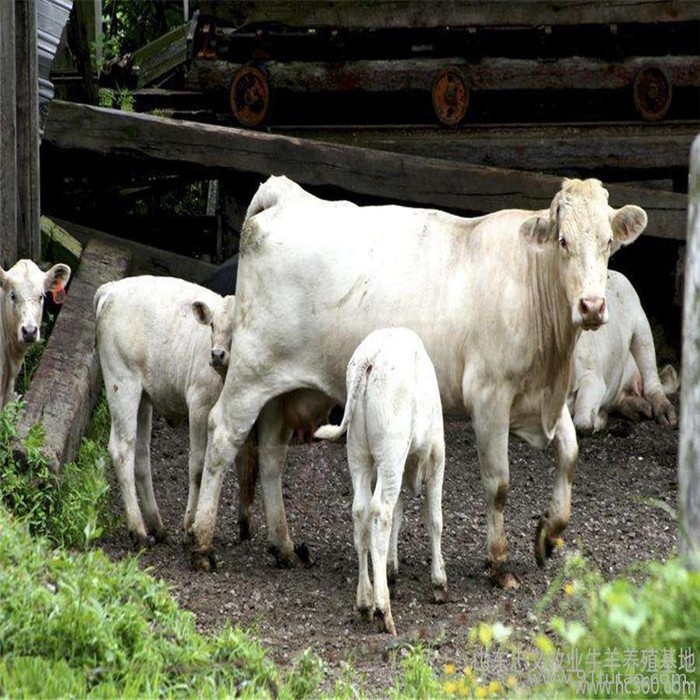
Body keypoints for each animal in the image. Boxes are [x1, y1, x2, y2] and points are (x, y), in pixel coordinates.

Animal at [94, 274, 237, 548]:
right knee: (122, 449)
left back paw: (157, 526)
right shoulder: (199, 405)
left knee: (141, 454)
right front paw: (190, 526)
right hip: (122, 383)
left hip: (143, 397)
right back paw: (139, 530)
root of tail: (111, 288)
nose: (217, 354)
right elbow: (198, 466)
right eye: (212, 325)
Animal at [190, 175, 644, 584]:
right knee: (222, 436)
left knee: (270, 454)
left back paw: (283, 545)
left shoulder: (539, 398)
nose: (591, 306)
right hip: (251, 371)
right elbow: (498, 484)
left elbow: (569, 454)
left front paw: (548, 534)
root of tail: (286, 194)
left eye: (608, 243)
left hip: (284, 388)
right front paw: (499, 562)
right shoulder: (490, 397)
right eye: (563, 241)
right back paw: (202, 543)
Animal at [314, 328, 446, 636]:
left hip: (360, 454)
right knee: (381, 512)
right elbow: (434, 519)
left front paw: (389, 567)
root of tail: (369, 357)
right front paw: (439, 581)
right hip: (391, 451)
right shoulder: (437, 457)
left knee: (361, 512)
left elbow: (399, 514)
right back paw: (382, 608)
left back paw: (365, 601)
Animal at [568, 268, 680, 432]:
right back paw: (636, 410)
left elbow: (582, 423)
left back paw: (667, 419)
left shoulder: (593, 374)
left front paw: (596, 422)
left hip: (641, 325)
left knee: (652, 380)